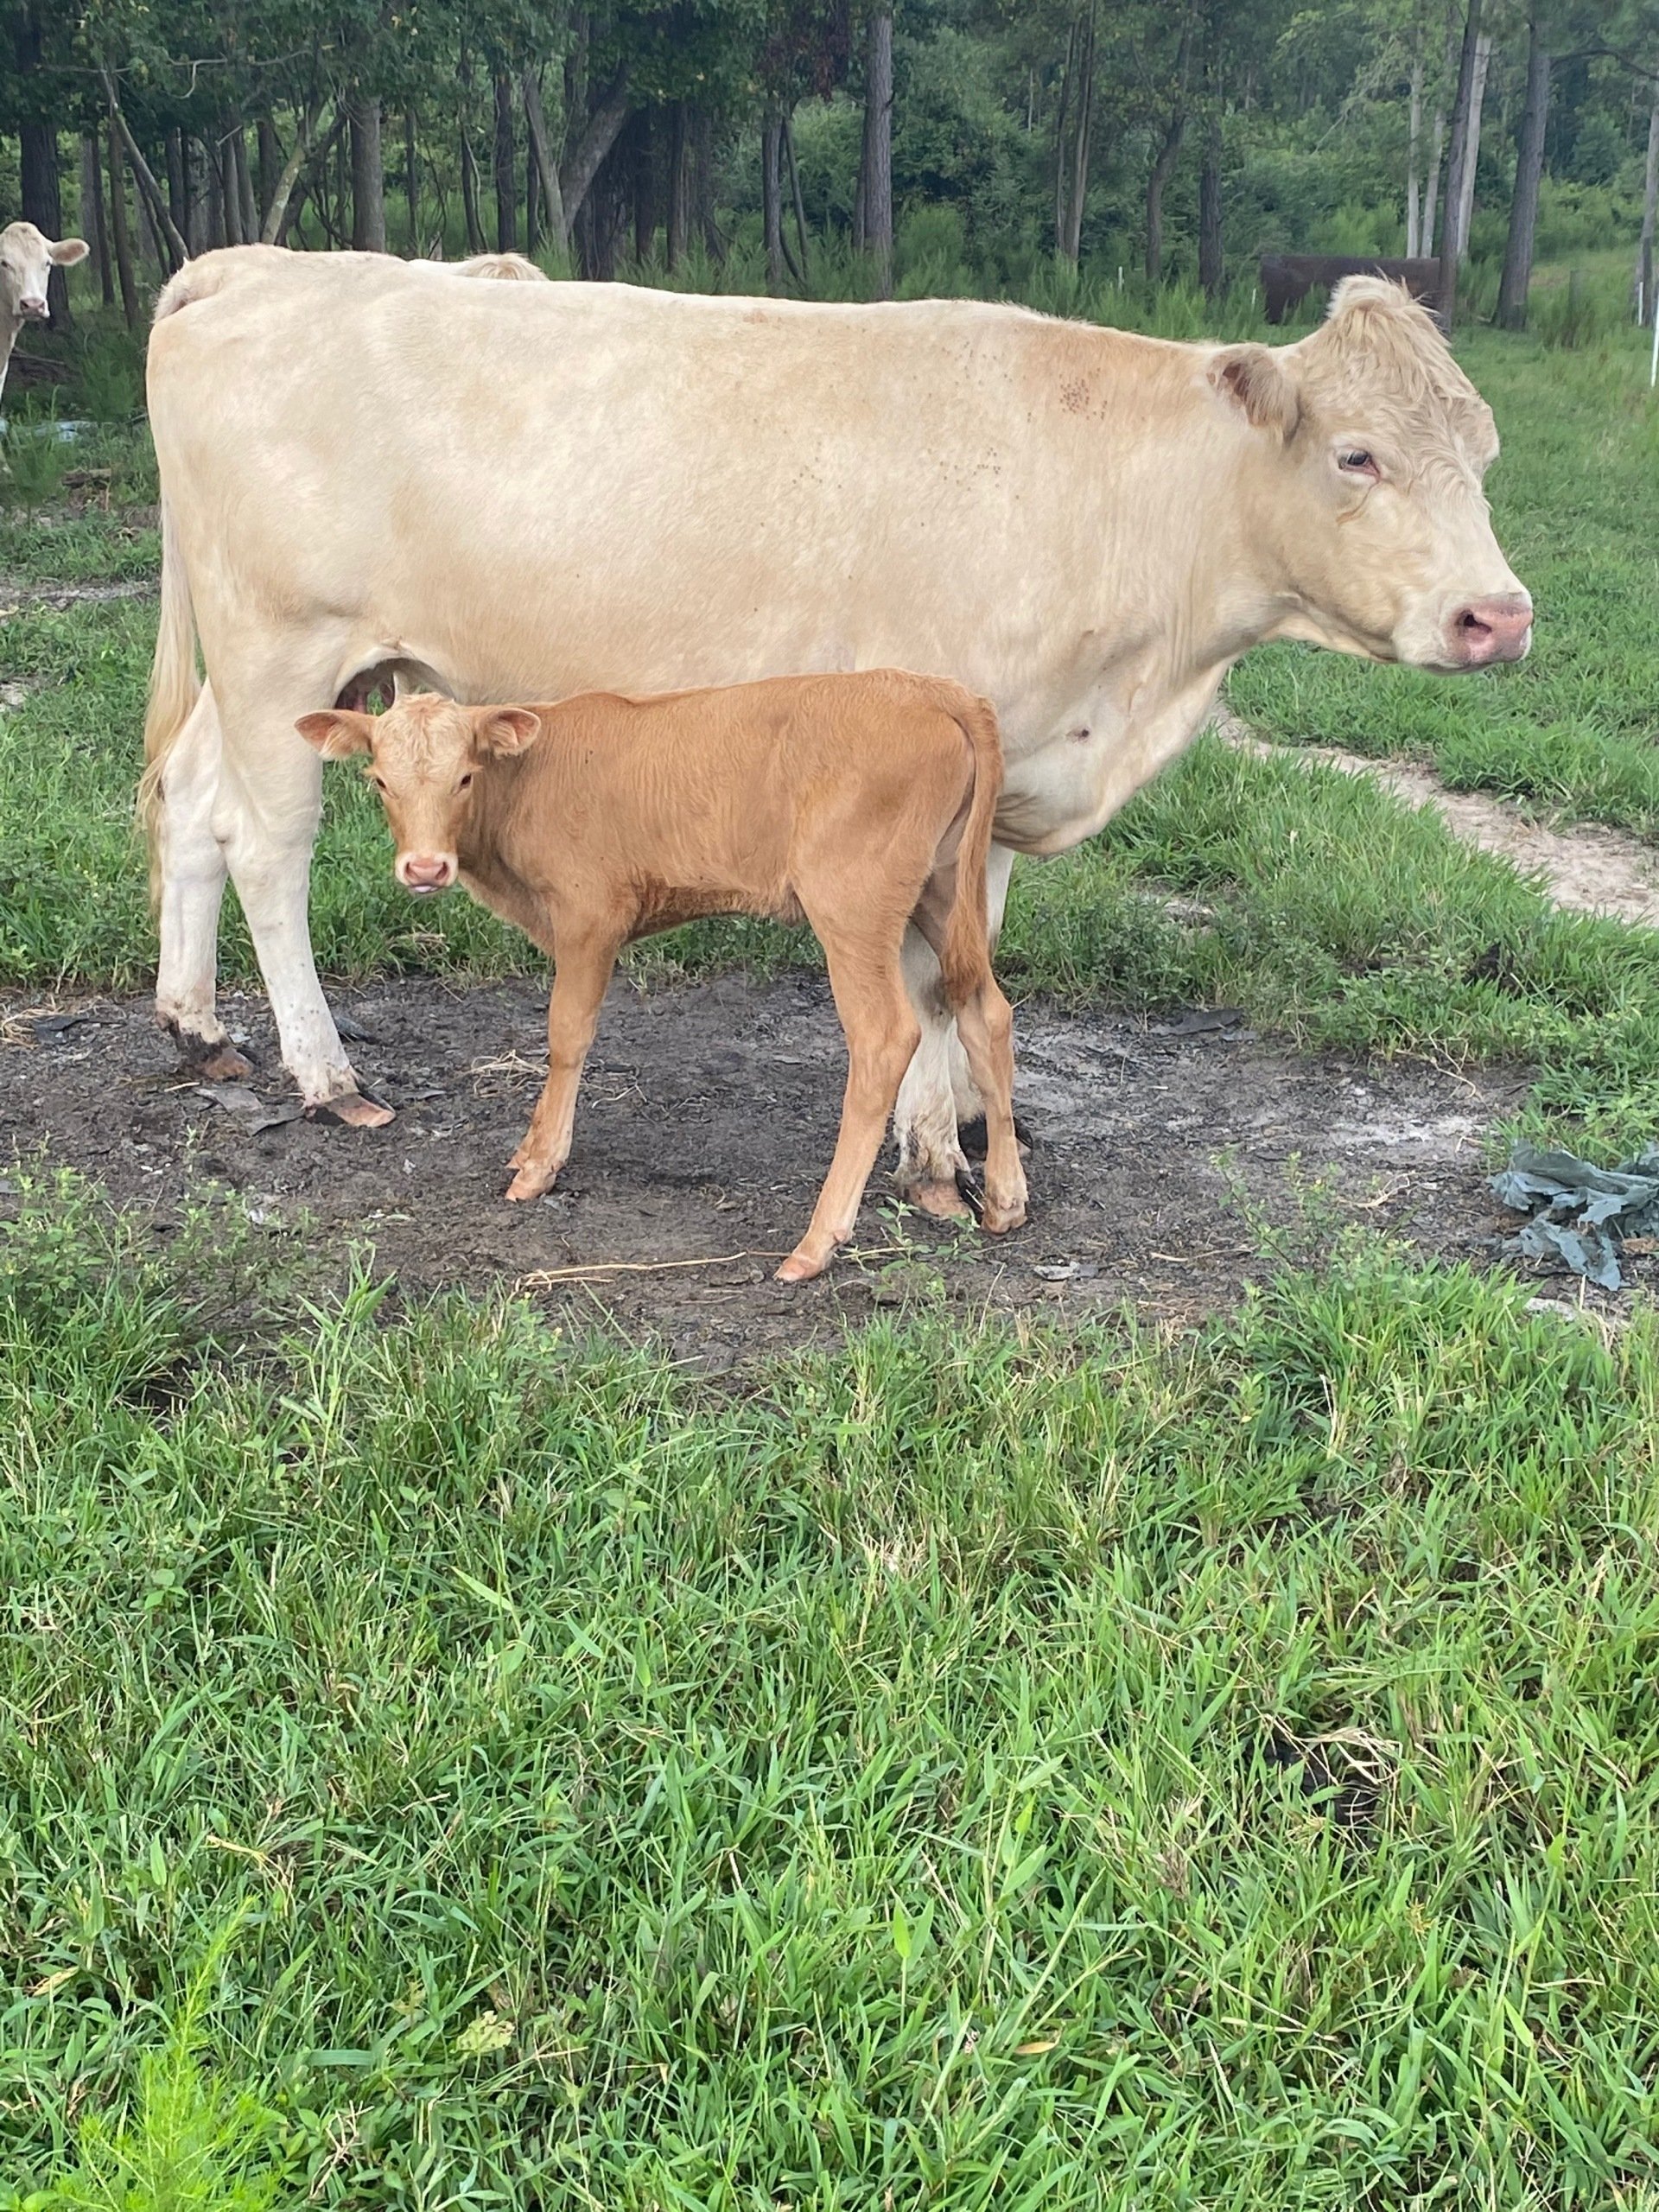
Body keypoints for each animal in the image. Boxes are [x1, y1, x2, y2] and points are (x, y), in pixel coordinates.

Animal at [295, 676, 1025, 1281]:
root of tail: (929, 687)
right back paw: (1005, 1201)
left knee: (883, 1038)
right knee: (985, 1012)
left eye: (465, 778)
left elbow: (566, 1035)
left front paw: (540, 1165)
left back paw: (816, 1243)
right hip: (942, 890)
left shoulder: (590, 916)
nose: (424, 868)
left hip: (851, 904)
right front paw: (528, 1148)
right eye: (380, 781)